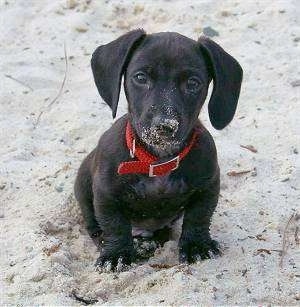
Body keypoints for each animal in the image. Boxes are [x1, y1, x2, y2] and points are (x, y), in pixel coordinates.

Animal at [74, 30, 243, 268]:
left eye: (193, 83)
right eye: (140, 78)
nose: (164, 125)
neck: (158, 160)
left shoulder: (208, 186)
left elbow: (199, 216)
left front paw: (197, 245)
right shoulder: (106, 194)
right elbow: (114, 224)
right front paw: (117, 254)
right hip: (82, 186)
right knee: (95, 226)